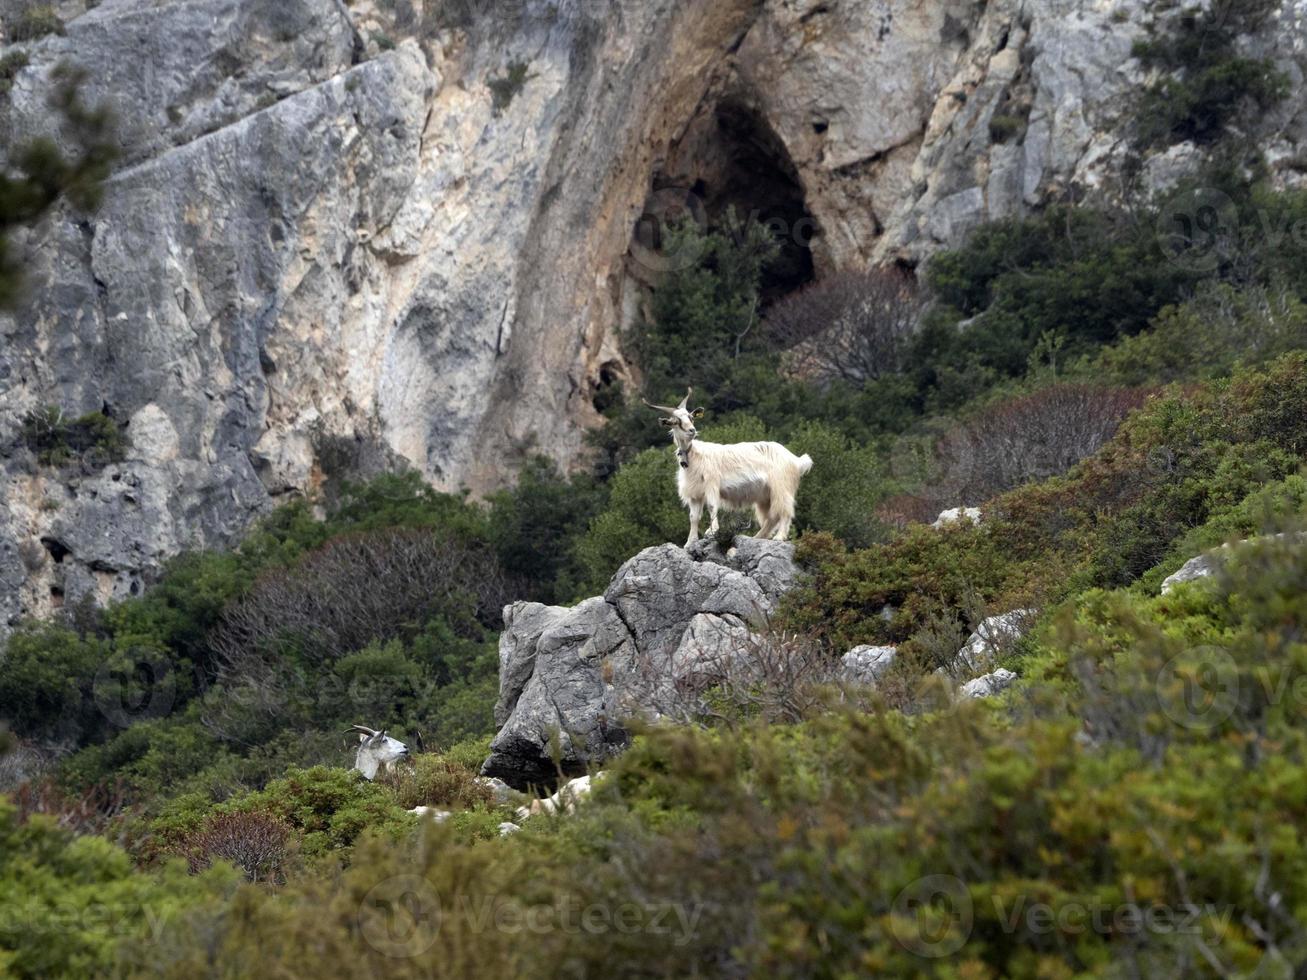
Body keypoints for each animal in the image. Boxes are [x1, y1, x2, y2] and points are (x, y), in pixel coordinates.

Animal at [645, 386, 810, 548]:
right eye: (675, 421)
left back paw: (779, 536)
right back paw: (758, 537)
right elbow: (693, 517)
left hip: (782, 487)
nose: (692, 430)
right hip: (765, 495)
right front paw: (690, 542)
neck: (694, 455)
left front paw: (712, 531)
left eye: (691, 418)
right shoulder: (695, 493)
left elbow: (712, 507)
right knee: (771, 517)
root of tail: (796, 460)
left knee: (785, 510)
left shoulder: (711, 484)